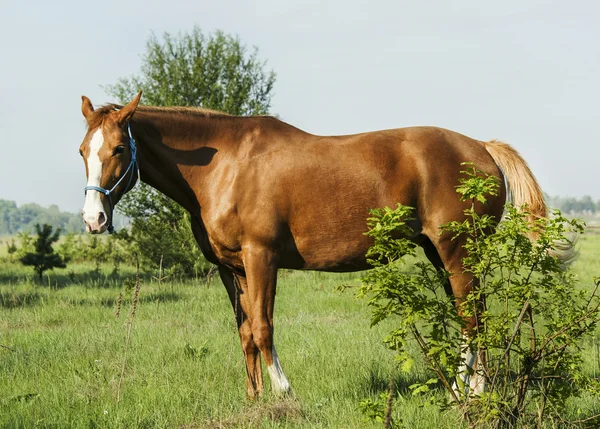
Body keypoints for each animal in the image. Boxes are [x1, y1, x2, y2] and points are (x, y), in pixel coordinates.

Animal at [78, 91, 572, 398]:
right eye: (84, 150)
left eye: (119, 149)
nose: (93, 218)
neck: (224, 166)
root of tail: (484, 148)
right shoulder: (231, 269)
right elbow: (245, 333)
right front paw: (254, 399)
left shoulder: (261, 258)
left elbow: (263, 328)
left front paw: (284, 393)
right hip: (441, 253)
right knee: (468, 316)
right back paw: (459, 387)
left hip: (458, 251)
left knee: (473, 318)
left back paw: (472, 391)